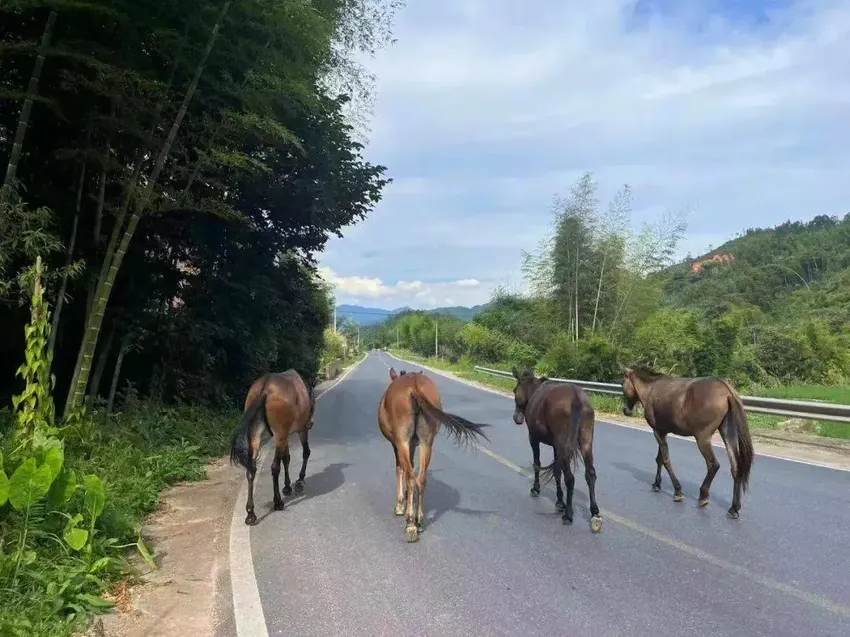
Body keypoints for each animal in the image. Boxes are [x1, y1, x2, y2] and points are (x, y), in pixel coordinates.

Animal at [229, 370, 314, 524]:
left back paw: (250, 513)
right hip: (280, 434)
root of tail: (265, 386)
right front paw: (299, 480)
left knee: (251, 469)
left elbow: (287, 458)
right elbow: (305, 452)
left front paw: (287, 486)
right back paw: (278, 502)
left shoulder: (286, 435)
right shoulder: (300, 430)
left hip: (256, 434)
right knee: (275, 467)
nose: (311, 423)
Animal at [380, 368, 490, 540]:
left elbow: (400, 469)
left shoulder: (398, 444)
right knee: (421, 479)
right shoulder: (413, 443)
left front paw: (400, 505)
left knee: (411, 478)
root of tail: (414, 386)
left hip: (402, 440)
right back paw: (419, 520)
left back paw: (410, 523)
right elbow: (411, 467)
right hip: (426, 441)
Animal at [510, 366, 604, 528]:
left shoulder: (534, 438)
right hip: (585, 442)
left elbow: (538, 464)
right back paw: (594, 513)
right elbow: (556, 470)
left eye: (515, 390)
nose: (517, 418)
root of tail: (576, 398)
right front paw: (560, 501)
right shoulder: (556, 446)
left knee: (570, 478)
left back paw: (568, 515)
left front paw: (536, 489)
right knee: (590, 474)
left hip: (563, 444)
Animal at [620, 366, 752, 520]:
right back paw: (734, 508)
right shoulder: (662, 432)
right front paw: (657, 484)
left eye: (622, 385)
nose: (626, 410)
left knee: (713, 465)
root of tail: (727, 391)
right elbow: (659, 459)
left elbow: (665, 461)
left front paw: (677, 491)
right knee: (736, 468)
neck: (651, 388)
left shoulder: (657, 432)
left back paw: (703, 496)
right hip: (728, 434)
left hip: (702, 438)